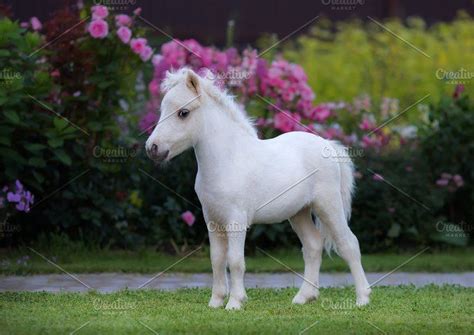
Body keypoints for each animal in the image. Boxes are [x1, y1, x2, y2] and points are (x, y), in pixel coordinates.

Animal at [144, 69, 370, 312]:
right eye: (162, 110)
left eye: (183, 113)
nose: (152, 148)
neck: (228, 159)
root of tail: (328, 145)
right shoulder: (212, 220)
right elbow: (217, 259)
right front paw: (216, 301)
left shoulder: (236, 220)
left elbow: (235, 261)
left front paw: (235, 302)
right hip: (298, 213)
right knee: (312, 246)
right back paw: (304, 297)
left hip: (328, 205)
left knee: (348, 244)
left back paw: (363, 298)